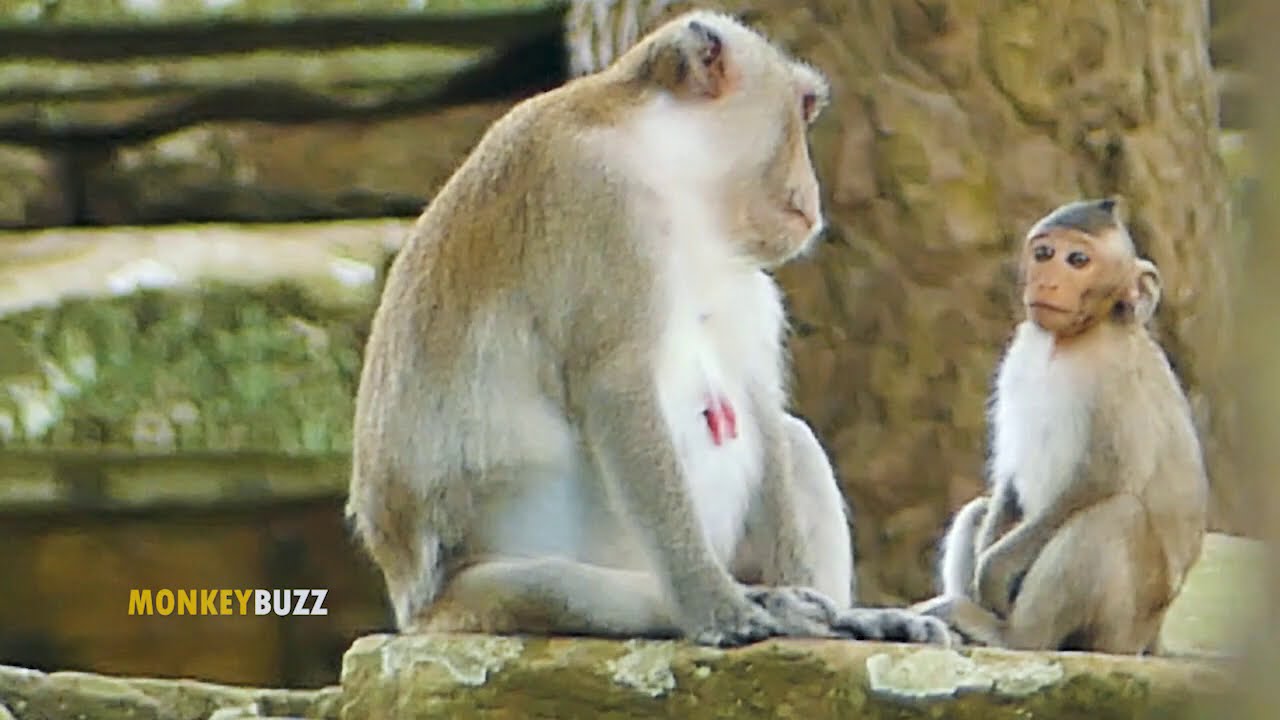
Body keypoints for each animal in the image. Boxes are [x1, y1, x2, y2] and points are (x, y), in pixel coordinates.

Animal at [345, 10, 951, 648]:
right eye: (806, 107)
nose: (813, 200)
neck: (669, 167)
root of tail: (412, 606)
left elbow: (760, 407)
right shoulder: (601, 201)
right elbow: (618, 388)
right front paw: (720, 609)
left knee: (796, 442)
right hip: (476, 598)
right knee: (554, 588)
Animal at [910, 198, 1210, 654]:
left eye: (1078, 260)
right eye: (1044, 254)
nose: (1047, 282)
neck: (1067, 342)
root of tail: (1152, 639)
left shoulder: (1116, 378)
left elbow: (1103, 477)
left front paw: (994, 571)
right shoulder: (1020, 355)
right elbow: (1010, 476)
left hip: (1125, 624)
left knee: (1114, 516)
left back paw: (1012, 635)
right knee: (980, 509)